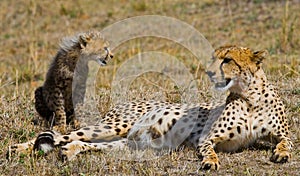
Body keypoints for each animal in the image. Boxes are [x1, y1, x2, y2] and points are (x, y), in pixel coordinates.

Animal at [9, 45, 292, 170]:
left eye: (228, 60)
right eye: (216, 58)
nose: (210, 72)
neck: (249, 97)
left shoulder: (282, 134)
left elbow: (286, 143)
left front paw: (282, 154)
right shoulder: (207, 138)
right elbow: (209, 150)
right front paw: (211, 161)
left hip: (133, 142)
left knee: (85, 143)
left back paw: (70, 151)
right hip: (115, 126)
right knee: (61, 135)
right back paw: (18, 148)